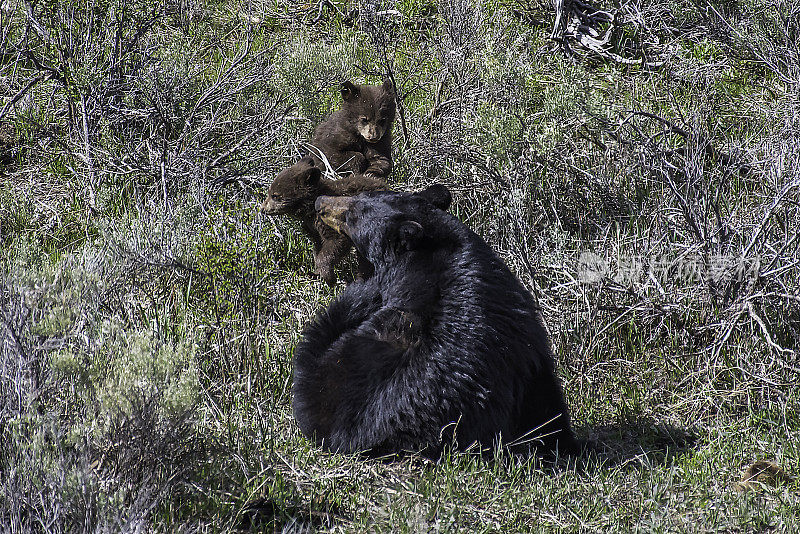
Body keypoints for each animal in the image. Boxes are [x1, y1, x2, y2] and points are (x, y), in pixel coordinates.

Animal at [260, 156, 386, 286]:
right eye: (270, 192)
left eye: (275, 195)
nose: (262, 209)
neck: (311, 208)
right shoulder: (313, 227)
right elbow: (318, 246)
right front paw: (316, 273)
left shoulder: (332, 221)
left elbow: (336, 242)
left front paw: (328, 277)